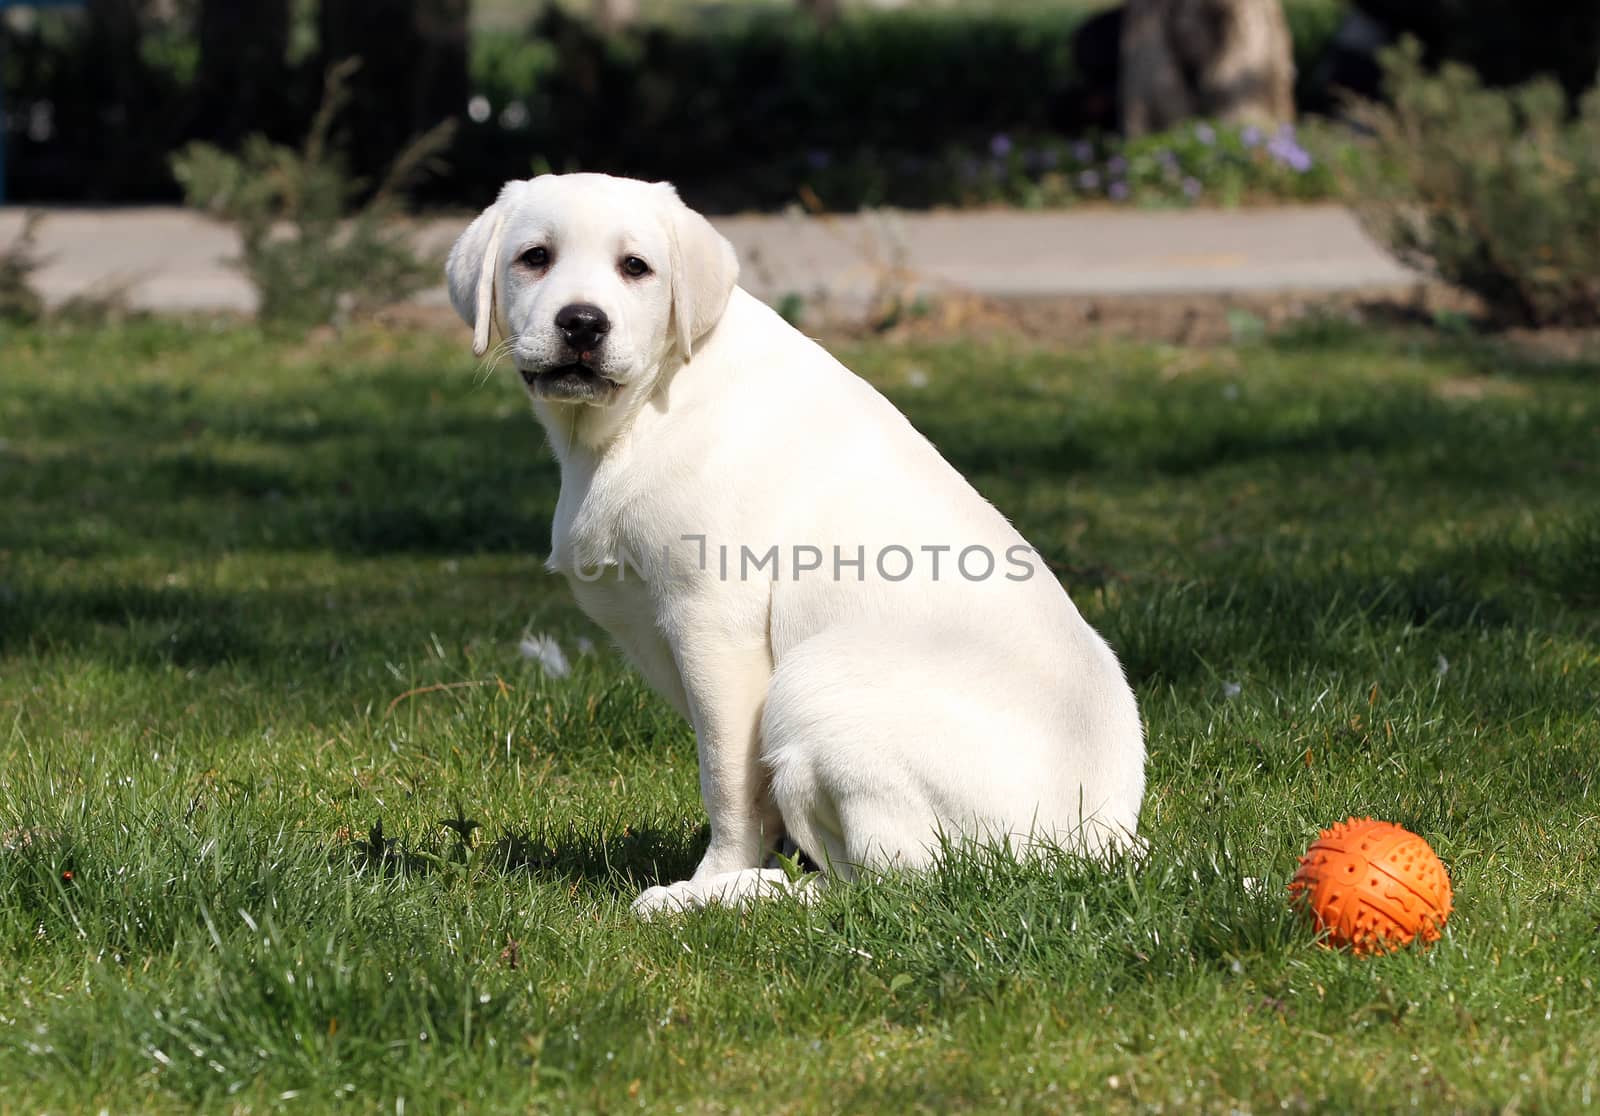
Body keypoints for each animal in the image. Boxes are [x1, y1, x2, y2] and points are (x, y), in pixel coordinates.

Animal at [451, 169, 1145, 908]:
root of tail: (1095, 844)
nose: (582, 322)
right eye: (534, 258)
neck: (648, 406)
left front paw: (713, 876)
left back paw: (718, 899)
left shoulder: (714, 625)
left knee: (889, 884)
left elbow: (728, 782)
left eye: (635, 267)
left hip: (815, 684)